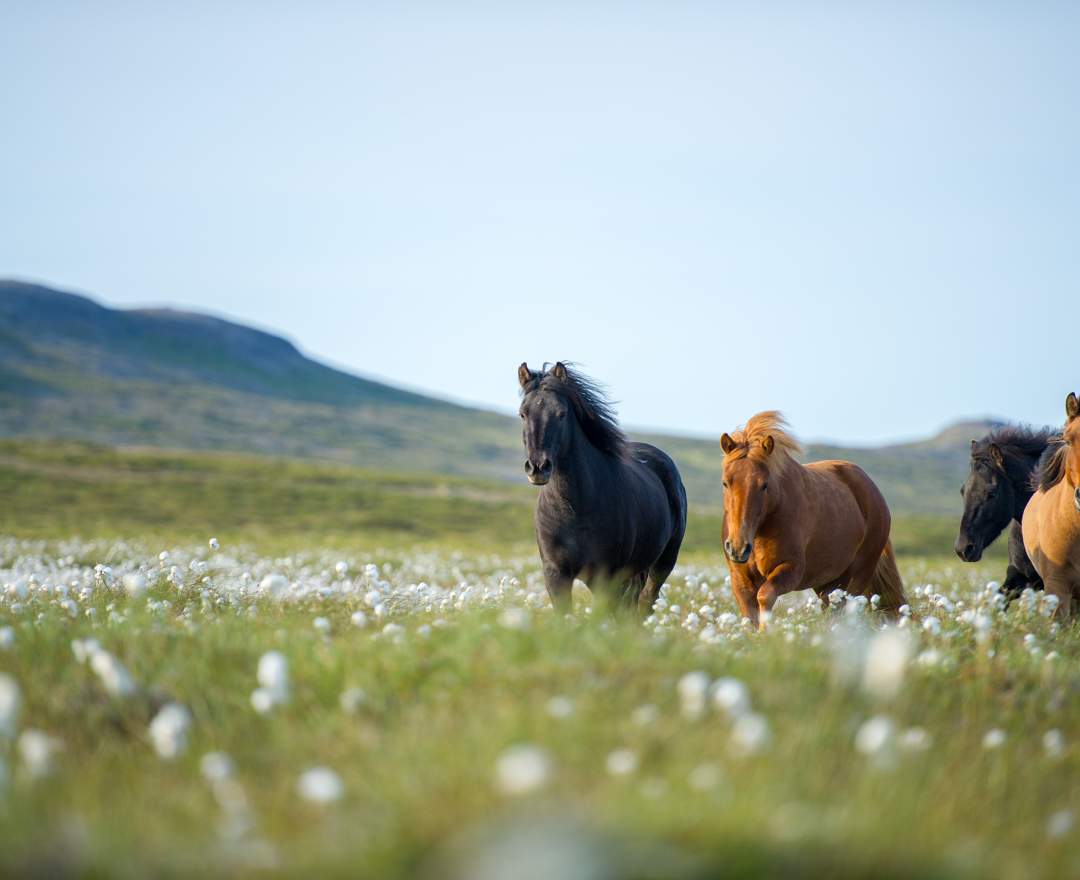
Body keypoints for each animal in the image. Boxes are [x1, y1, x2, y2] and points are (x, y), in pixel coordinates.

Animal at [518, 360, 686, 617]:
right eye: (523, 413)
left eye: (561, 413)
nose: (538, 467)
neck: (574, 508)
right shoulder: (556, 574)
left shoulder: (605, 577)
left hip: (662, 563)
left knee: (645, 602)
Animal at [721, 410, 907, 626]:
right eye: (725, 482)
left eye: (764, 485)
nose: (738, 547)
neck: (760, 531)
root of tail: (873, 490)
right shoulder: (741, 581)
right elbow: (749, 616)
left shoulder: (791, 569)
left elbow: (765, 596)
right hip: (829, 583)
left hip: (857, 576)